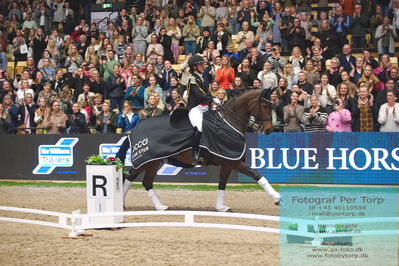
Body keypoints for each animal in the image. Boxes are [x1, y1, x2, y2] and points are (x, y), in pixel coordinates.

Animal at [120, 89, 280, 212]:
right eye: (264, 105)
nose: (268, 130)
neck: (229, 122)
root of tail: (133, 130)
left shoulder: (228, 163)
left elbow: (222, 183)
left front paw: (221, 207)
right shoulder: (233, 161)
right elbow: (257, 175)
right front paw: (277, 198)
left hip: (154, 161)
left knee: (146, 182)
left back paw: (160, 207)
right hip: (145, 160)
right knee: (131, 177)